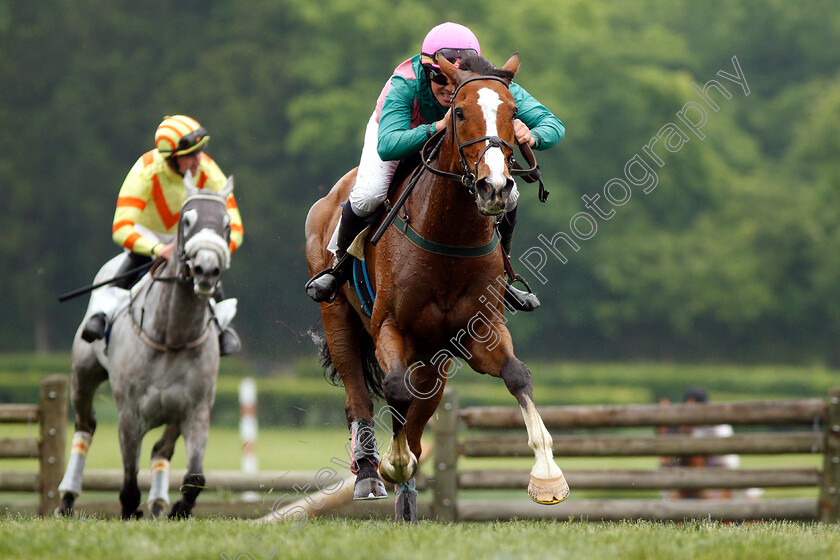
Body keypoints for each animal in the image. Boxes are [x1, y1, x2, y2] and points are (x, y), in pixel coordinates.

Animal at [59, 172, 235, 520]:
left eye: (225, 224)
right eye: (187, 220)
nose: (207, 270)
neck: (172, 336)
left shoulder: (196, 409)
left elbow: (195, 475)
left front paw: (178, 509)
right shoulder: (129, 413)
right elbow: (128, 480)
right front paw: (131, 510)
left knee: (160, 451)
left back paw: (156, 504)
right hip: (83, 374)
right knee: (85, 427)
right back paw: (67, 499)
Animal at [306, 52, 568, 520]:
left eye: (513, 113)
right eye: (459, 112)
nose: (495, 187)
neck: (450, 235)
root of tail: (329, 198)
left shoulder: (479, 331)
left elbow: (517, 375)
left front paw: (548, 475)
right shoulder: (390, 327)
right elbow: (393, 388)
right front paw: (393, 464)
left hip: (435, 362)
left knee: (417, 418)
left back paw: (408, 499)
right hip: (338, 318)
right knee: (359, 396)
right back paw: (370, 474)